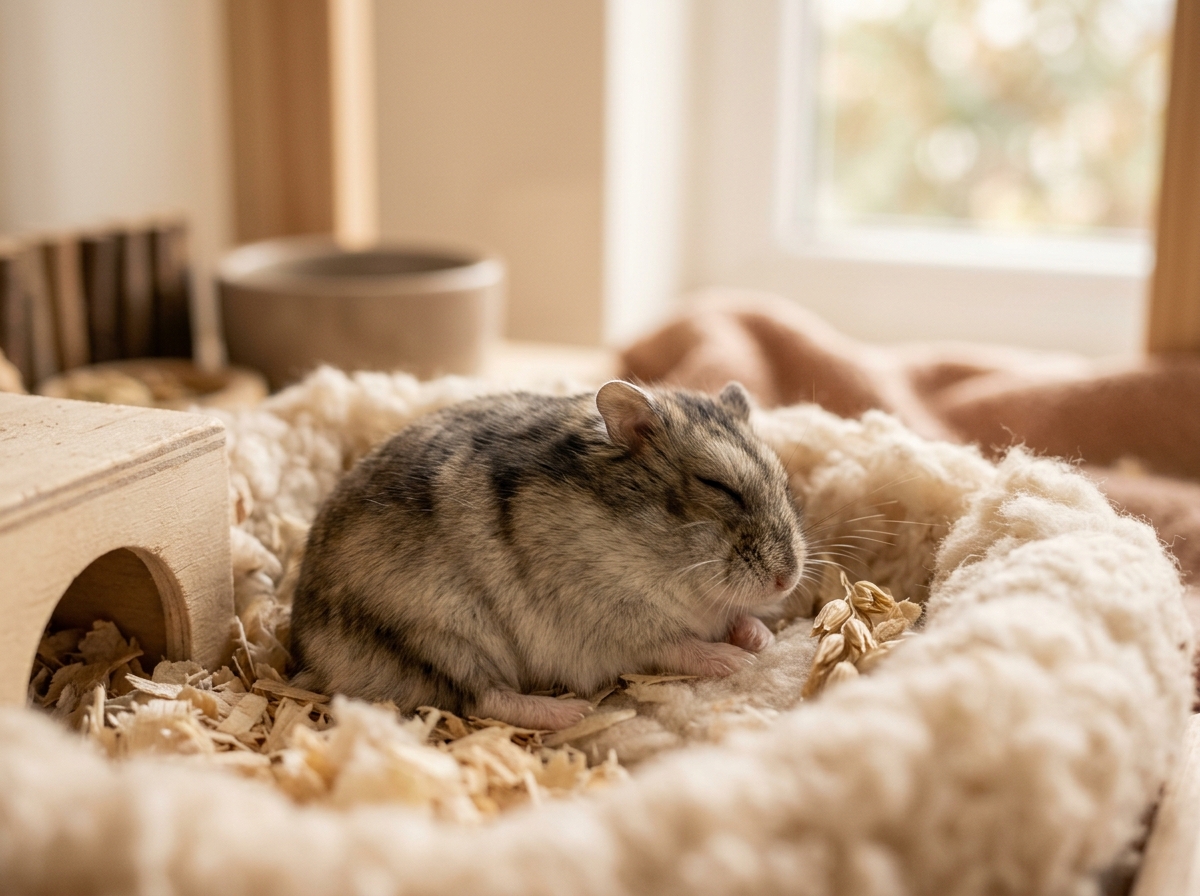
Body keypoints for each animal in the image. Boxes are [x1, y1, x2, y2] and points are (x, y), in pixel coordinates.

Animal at [289, 380, 806, 730]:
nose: (787, 580)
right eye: (718, 487)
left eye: (784, 485)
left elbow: (736, 618)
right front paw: (738, 661)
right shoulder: (614, 620)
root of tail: (299, 655)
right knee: (481, 699)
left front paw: (760, 637)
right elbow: (676, 644)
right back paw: (571, 712)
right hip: (443, 636)